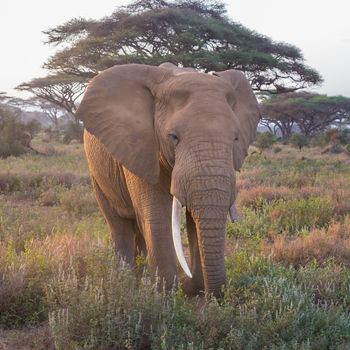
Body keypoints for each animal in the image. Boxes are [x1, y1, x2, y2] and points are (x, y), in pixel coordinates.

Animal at [78, 61, 262, 296]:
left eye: (236, 138)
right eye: (173, 137)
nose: (217, 295)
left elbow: (194, 219)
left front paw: (193, 289)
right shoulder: (141, 147)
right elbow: (157, 216)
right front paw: (167, 295)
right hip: (97, 173)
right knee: (119, 225)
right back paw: (125, 285)